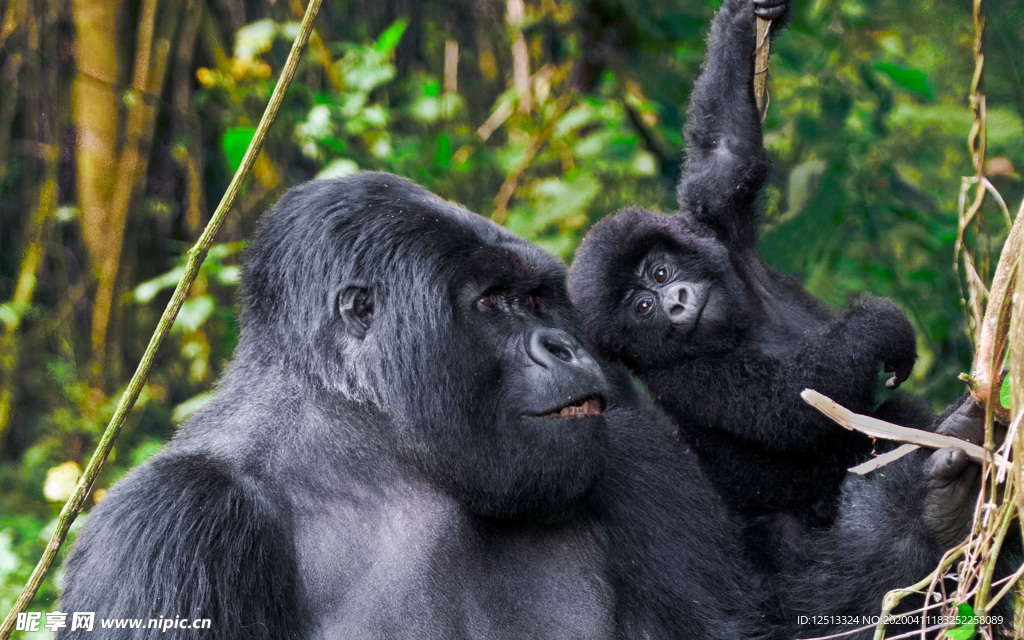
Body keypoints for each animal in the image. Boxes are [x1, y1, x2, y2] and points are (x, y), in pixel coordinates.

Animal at [59, 171, 978, 638]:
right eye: (494, 303)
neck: (371, 447)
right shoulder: (172, 525)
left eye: (540, 299)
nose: (565, 349)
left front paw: (931, 513)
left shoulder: (630, 451)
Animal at [569, 0, 929, 565]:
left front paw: (748, 18)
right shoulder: (683, 376)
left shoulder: (715, 228)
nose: (676, 303)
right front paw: (879, 327)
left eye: (660, 272)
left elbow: (726, 158)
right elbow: (787, 404)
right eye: (642, 309)